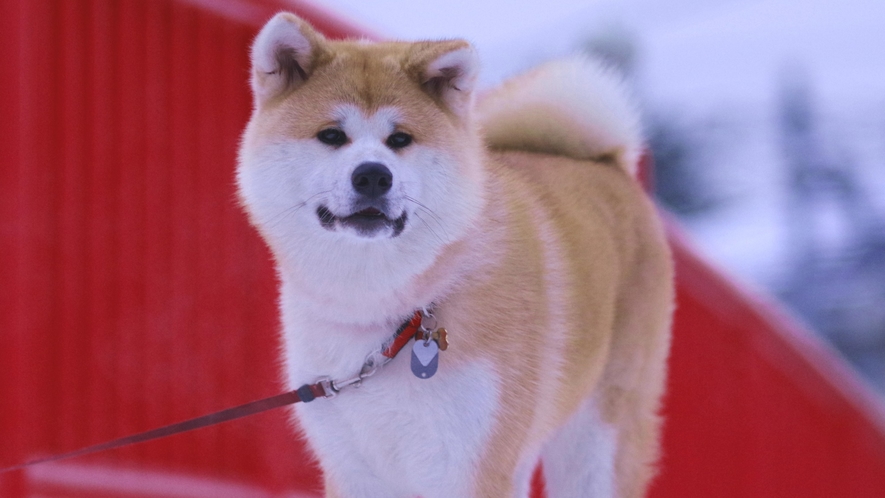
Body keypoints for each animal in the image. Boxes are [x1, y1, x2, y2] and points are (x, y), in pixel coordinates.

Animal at [238, 11, 672, 498]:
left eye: (400, 139)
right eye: (331, 135)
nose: (373, 176)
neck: (380, 312)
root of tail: (605, 162)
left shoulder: (469, 465)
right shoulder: (355, 467)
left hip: (594, 445)